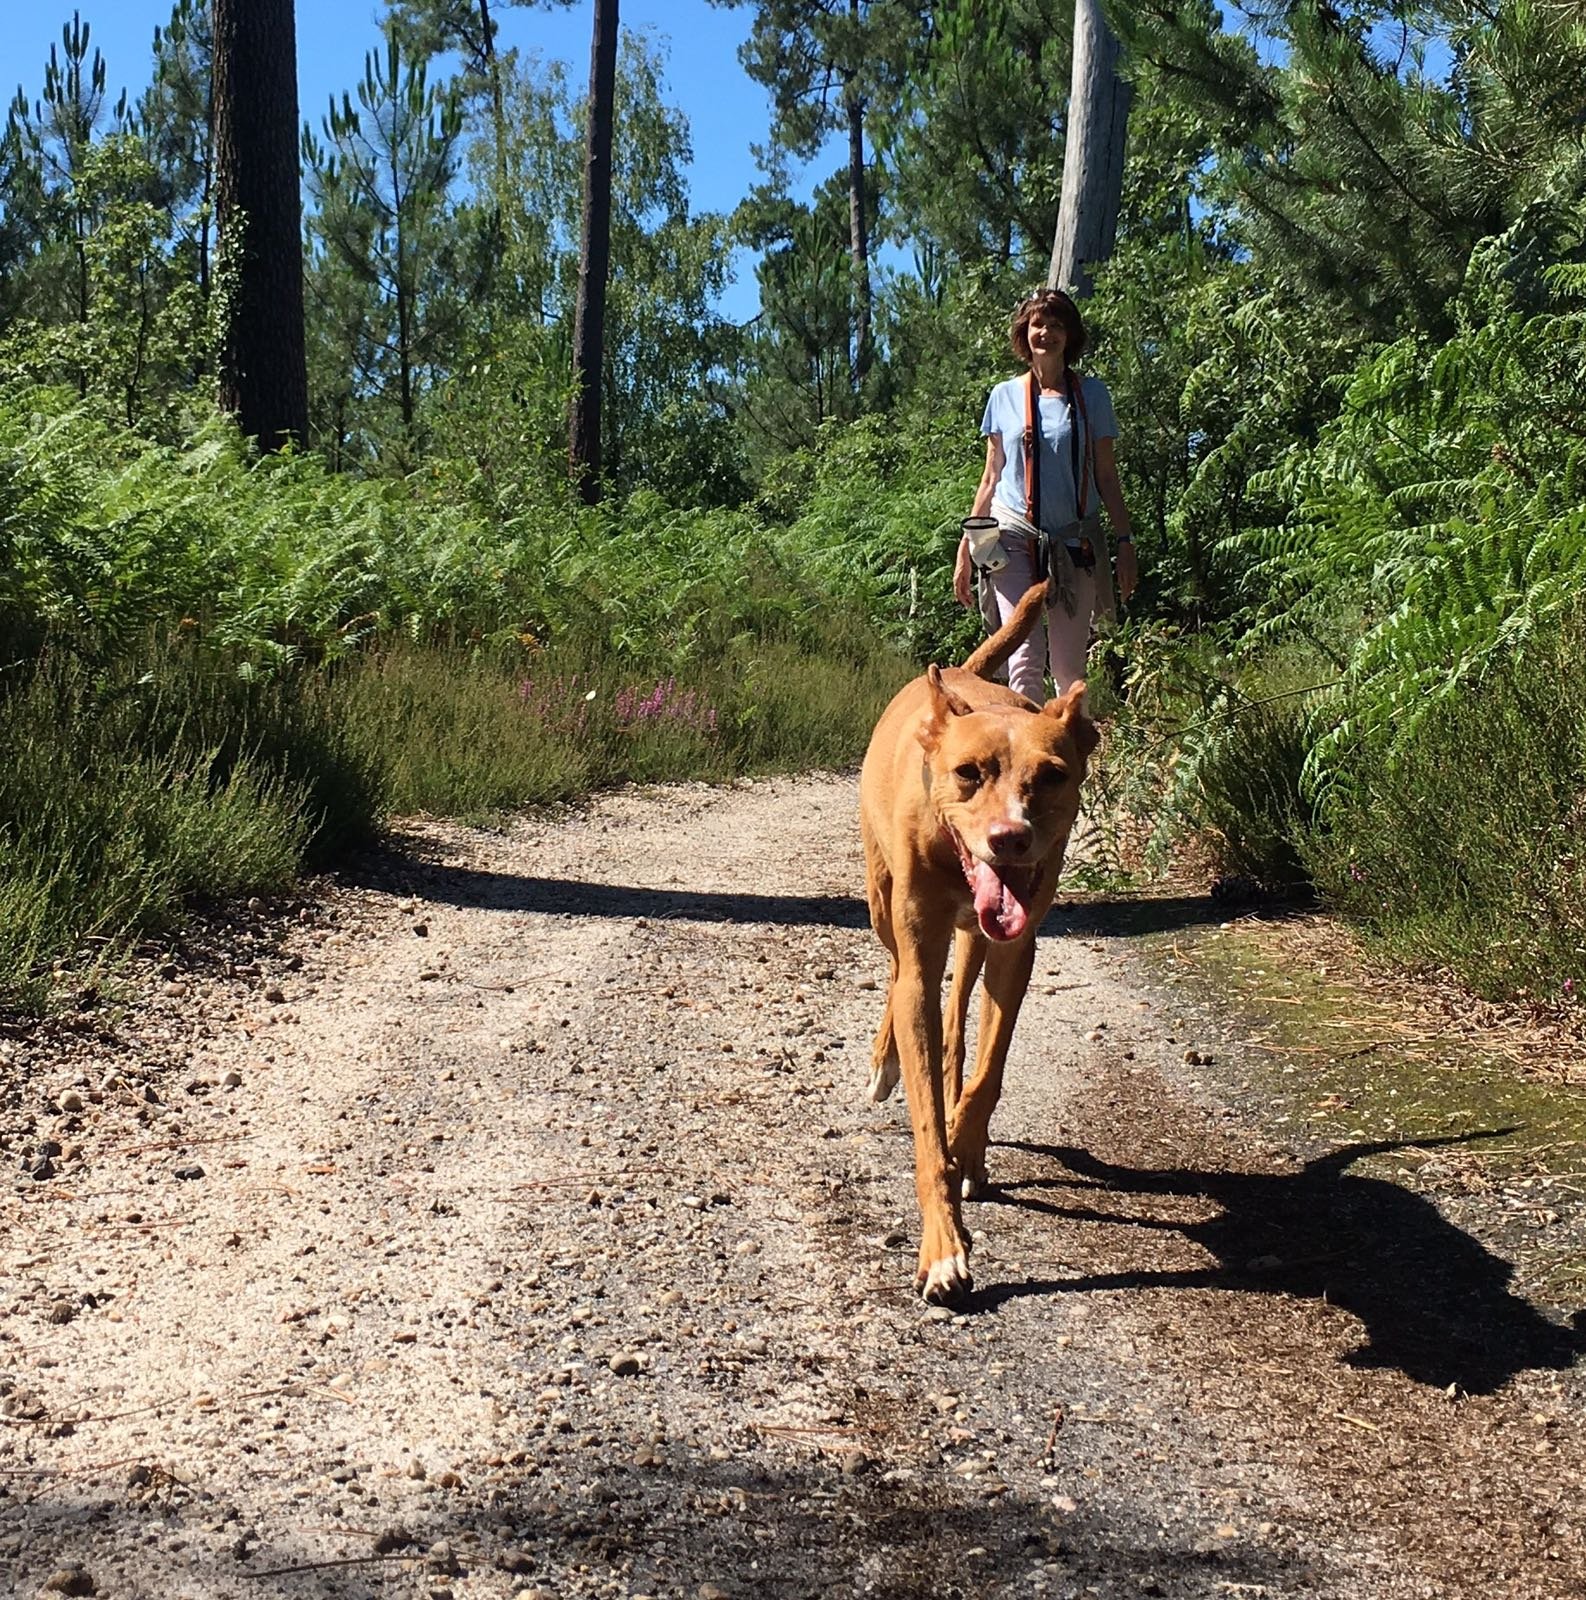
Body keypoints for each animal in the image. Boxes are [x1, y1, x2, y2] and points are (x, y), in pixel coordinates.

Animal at [864, 588, 1094, 1299]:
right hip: (883, 902)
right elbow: (925, 1120)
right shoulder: (920, 945)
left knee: (959, 1020)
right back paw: (885, 1060)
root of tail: (959, 678)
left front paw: (967, 1146)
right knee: (896, 973)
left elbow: (989, 1066)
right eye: (968, 773)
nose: (1010, 838)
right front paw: (943, 1247)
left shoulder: (1016, 951)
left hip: (974, 941)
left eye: (1052, 776)